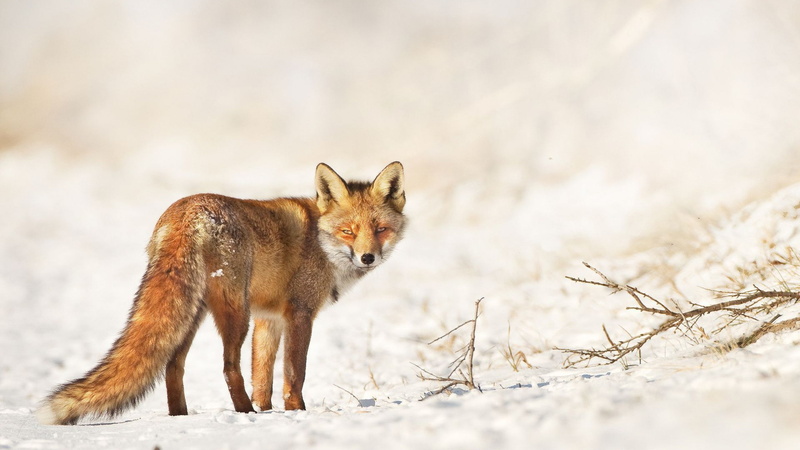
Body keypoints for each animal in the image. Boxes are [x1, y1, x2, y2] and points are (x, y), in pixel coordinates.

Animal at [37, 162, 406, 425]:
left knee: (173, 365)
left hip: (193, 314)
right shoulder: (299, 314)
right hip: (234, 312)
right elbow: (293, 373)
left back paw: (181, 416)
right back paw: (244, 413)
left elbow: (263, 376)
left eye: (380, 229)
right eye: (348, 232)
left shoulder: (269, 319)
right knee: (228, 367)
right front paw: (295, 412)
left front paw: (268, 410)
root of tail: (186, 211)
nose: (368, 257)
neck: (320, 241)